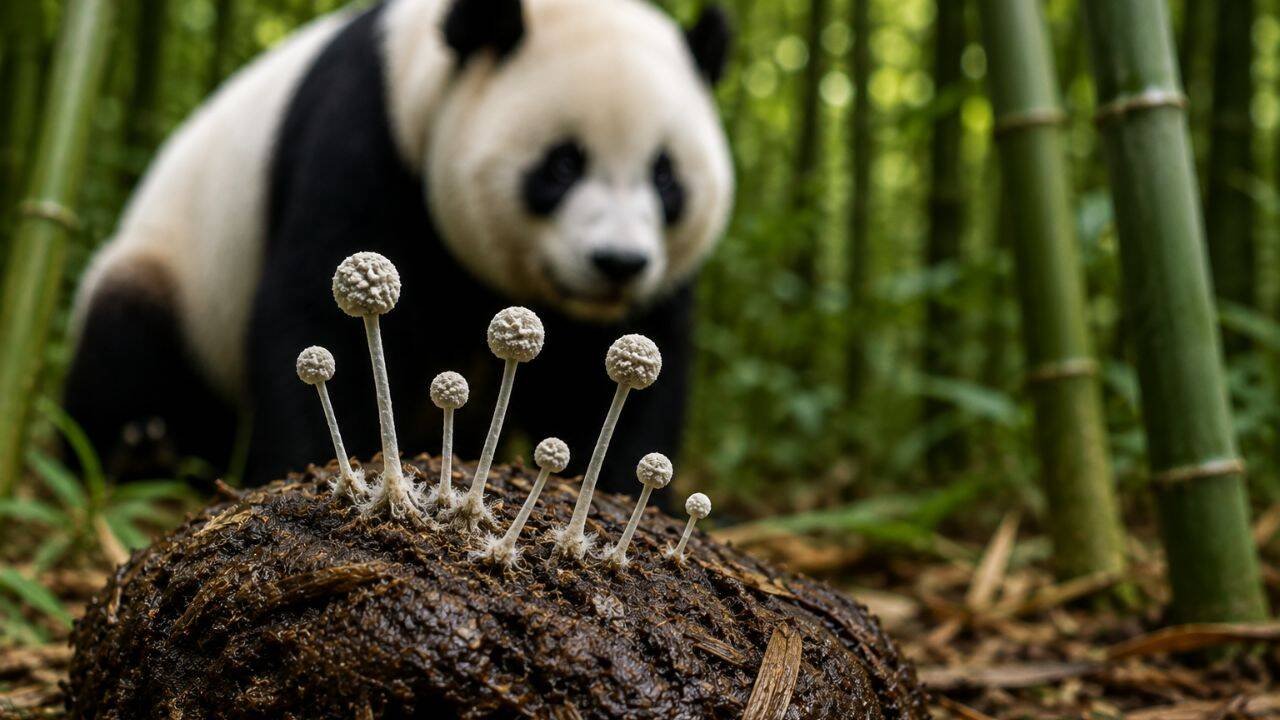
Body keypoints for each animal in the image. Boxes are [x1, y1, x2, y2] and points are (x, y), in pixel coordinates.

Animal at [64, 0, 734, 495]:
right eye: (562, 164)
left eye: (666, 177)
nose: (618, 263)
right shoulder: (367, 138)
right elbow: (316, 314)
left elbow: (607, 379)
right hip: (172, 268)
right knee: (125, 346)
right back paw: (141, 451)